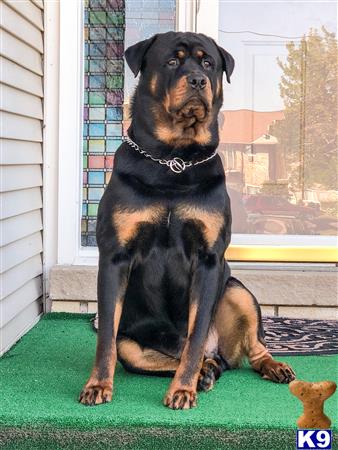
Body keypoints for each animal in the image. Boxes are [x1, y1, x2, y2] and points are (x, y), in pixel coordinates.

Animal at [80, 31, 296, 410]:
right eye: (171, 61)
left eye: (208, 63)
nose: (197, 80)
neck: (173, 159)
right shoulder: (115, 255)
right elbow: (105, 333)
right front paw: (98, 385)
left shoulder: (208, 260)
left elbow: (195, 336)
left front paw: (182, 390)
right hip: (133, 342)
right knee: (156, 353)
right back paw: (207, 370)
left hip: (236, 290)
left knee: (244, 346)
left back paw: (265, 365)